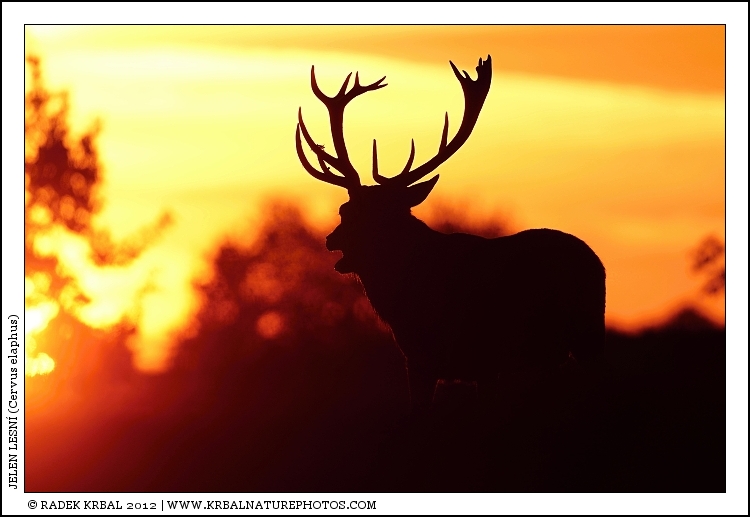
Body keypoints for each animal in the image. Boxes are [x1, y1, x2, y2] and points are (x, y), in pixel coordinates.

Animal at [295, 55, 606, 410]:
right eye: (344, 210)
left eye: (378, 216)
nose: (331, 239)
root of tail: (597, 261)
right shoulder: (417, 362)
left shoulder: (486, 360)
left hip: (589, 336)